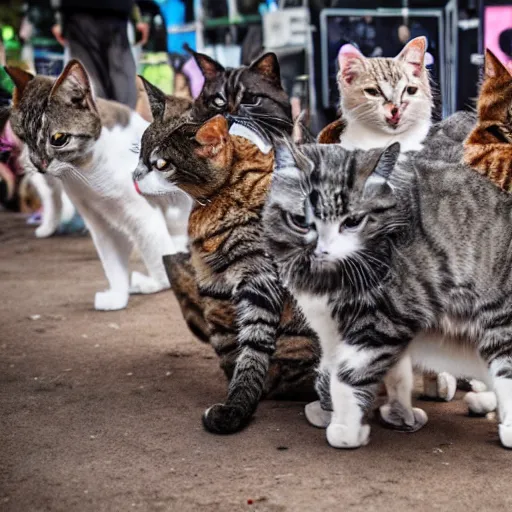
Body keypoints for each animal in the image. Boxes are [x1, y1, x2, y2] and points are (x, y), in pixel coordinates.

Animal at [135, 114, 320, 434]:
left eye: (161, 164)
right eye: (140, 155)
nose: (134, 175)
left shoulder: (261, 280)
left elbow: (253, 345)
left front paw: (237, 406)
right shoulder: (214, 286)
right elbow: (228, 340)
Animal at [262, 140, 512, 448]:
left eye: (353, 221)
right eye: (300, 220)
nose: (323, 250)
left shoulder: (384, 322)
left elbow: (347, 376)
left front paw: (346, 430)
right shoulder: (333, 329)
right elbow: (386, 374)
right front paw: (397, 414)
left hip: (499, 321)